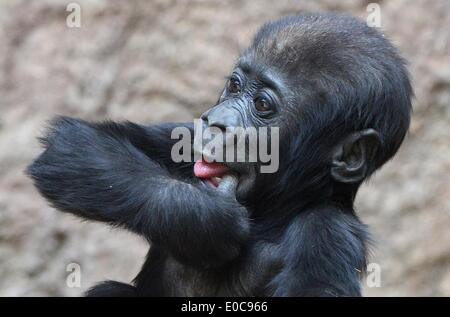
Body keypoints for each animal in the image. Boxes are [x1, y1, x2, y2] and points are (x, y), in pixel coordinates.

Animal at [28, 14, 414, 296]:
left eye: (262, 105)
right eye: (235, 84)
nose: (216, 122)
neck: (275, 212)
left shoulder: (329, 234)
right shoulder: (181, 137)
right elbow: (78, 145)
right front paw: (209, 222)